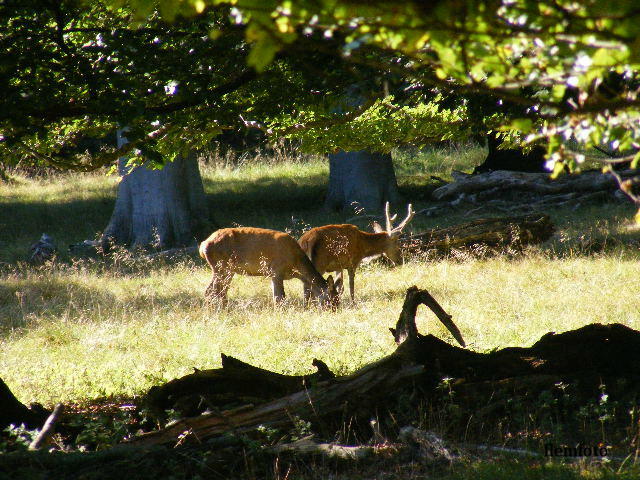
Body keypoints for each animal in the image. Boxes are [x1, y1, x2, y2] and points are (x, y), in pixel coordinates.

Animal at [200, 228, 340, 310]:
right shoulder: (276, 270)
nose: (335, 310)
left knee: (221, 291)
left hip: (228, 270)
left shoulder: (272, 274)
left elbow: (276, 296)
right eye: (332, 300)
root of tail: (203, 245)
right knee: (211, 291)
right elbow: (280, 297)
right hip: (220, 266)